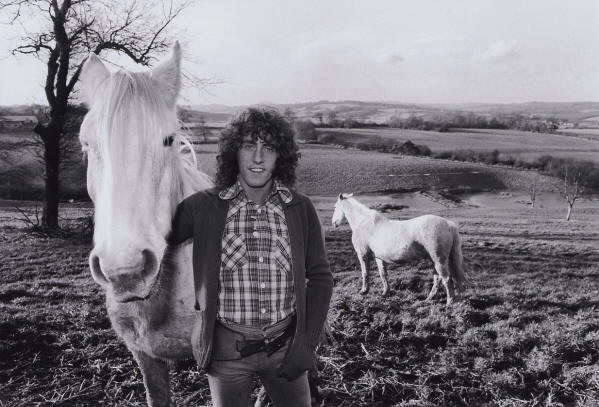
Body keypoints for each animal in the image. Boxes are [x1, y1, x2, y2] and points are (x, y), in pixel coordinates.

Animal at [332, 193, 468, 304]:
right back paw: (429, 299)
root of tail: (448, 224)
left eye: (335, 206)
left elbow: (365, 273)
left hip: (439, 260)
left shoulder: (363, 255)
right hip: (434, 260)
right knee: (438, 279)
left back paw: (449, 302)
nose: (334, 223)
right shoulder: (379, 257)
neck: (363, 223)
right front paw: (385, 292)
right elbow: (383, 274)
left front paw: (364, 291)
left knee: (446, 279)